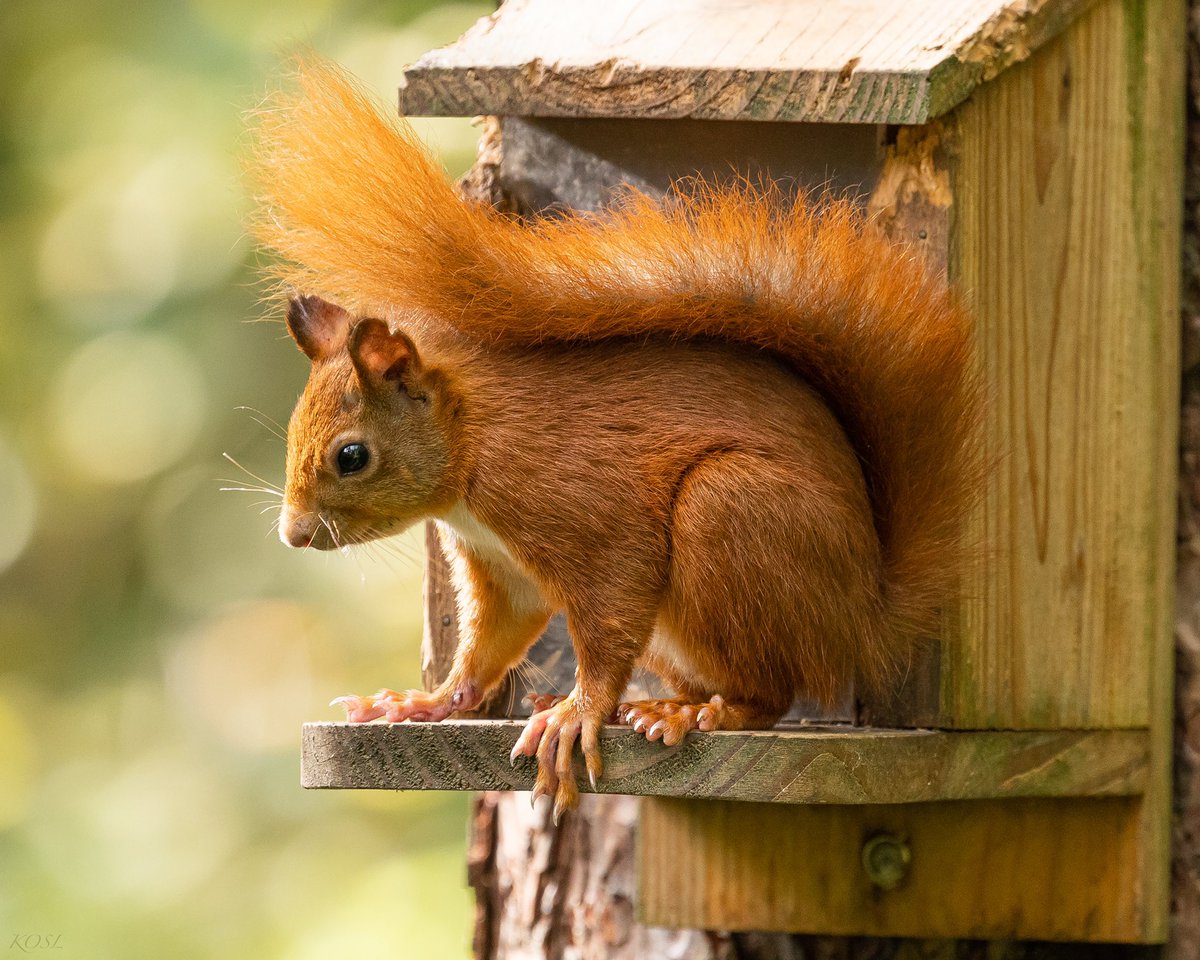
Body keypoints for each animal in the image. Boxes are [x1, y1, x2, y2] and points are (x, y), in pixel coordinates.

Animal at [248, 61, 979, 816]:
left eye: (351, 456)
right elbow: (493, 640)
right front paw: (425, 703)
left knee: (770, 692)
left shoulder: (586, 510)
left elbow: (609, 611)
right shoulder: (500, 566)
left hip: (730, 511)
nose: (294, 534)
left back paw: (691, 714)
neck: (471, 445)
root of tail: (865, 617)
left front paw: (580, 713)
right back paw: (635, 704)